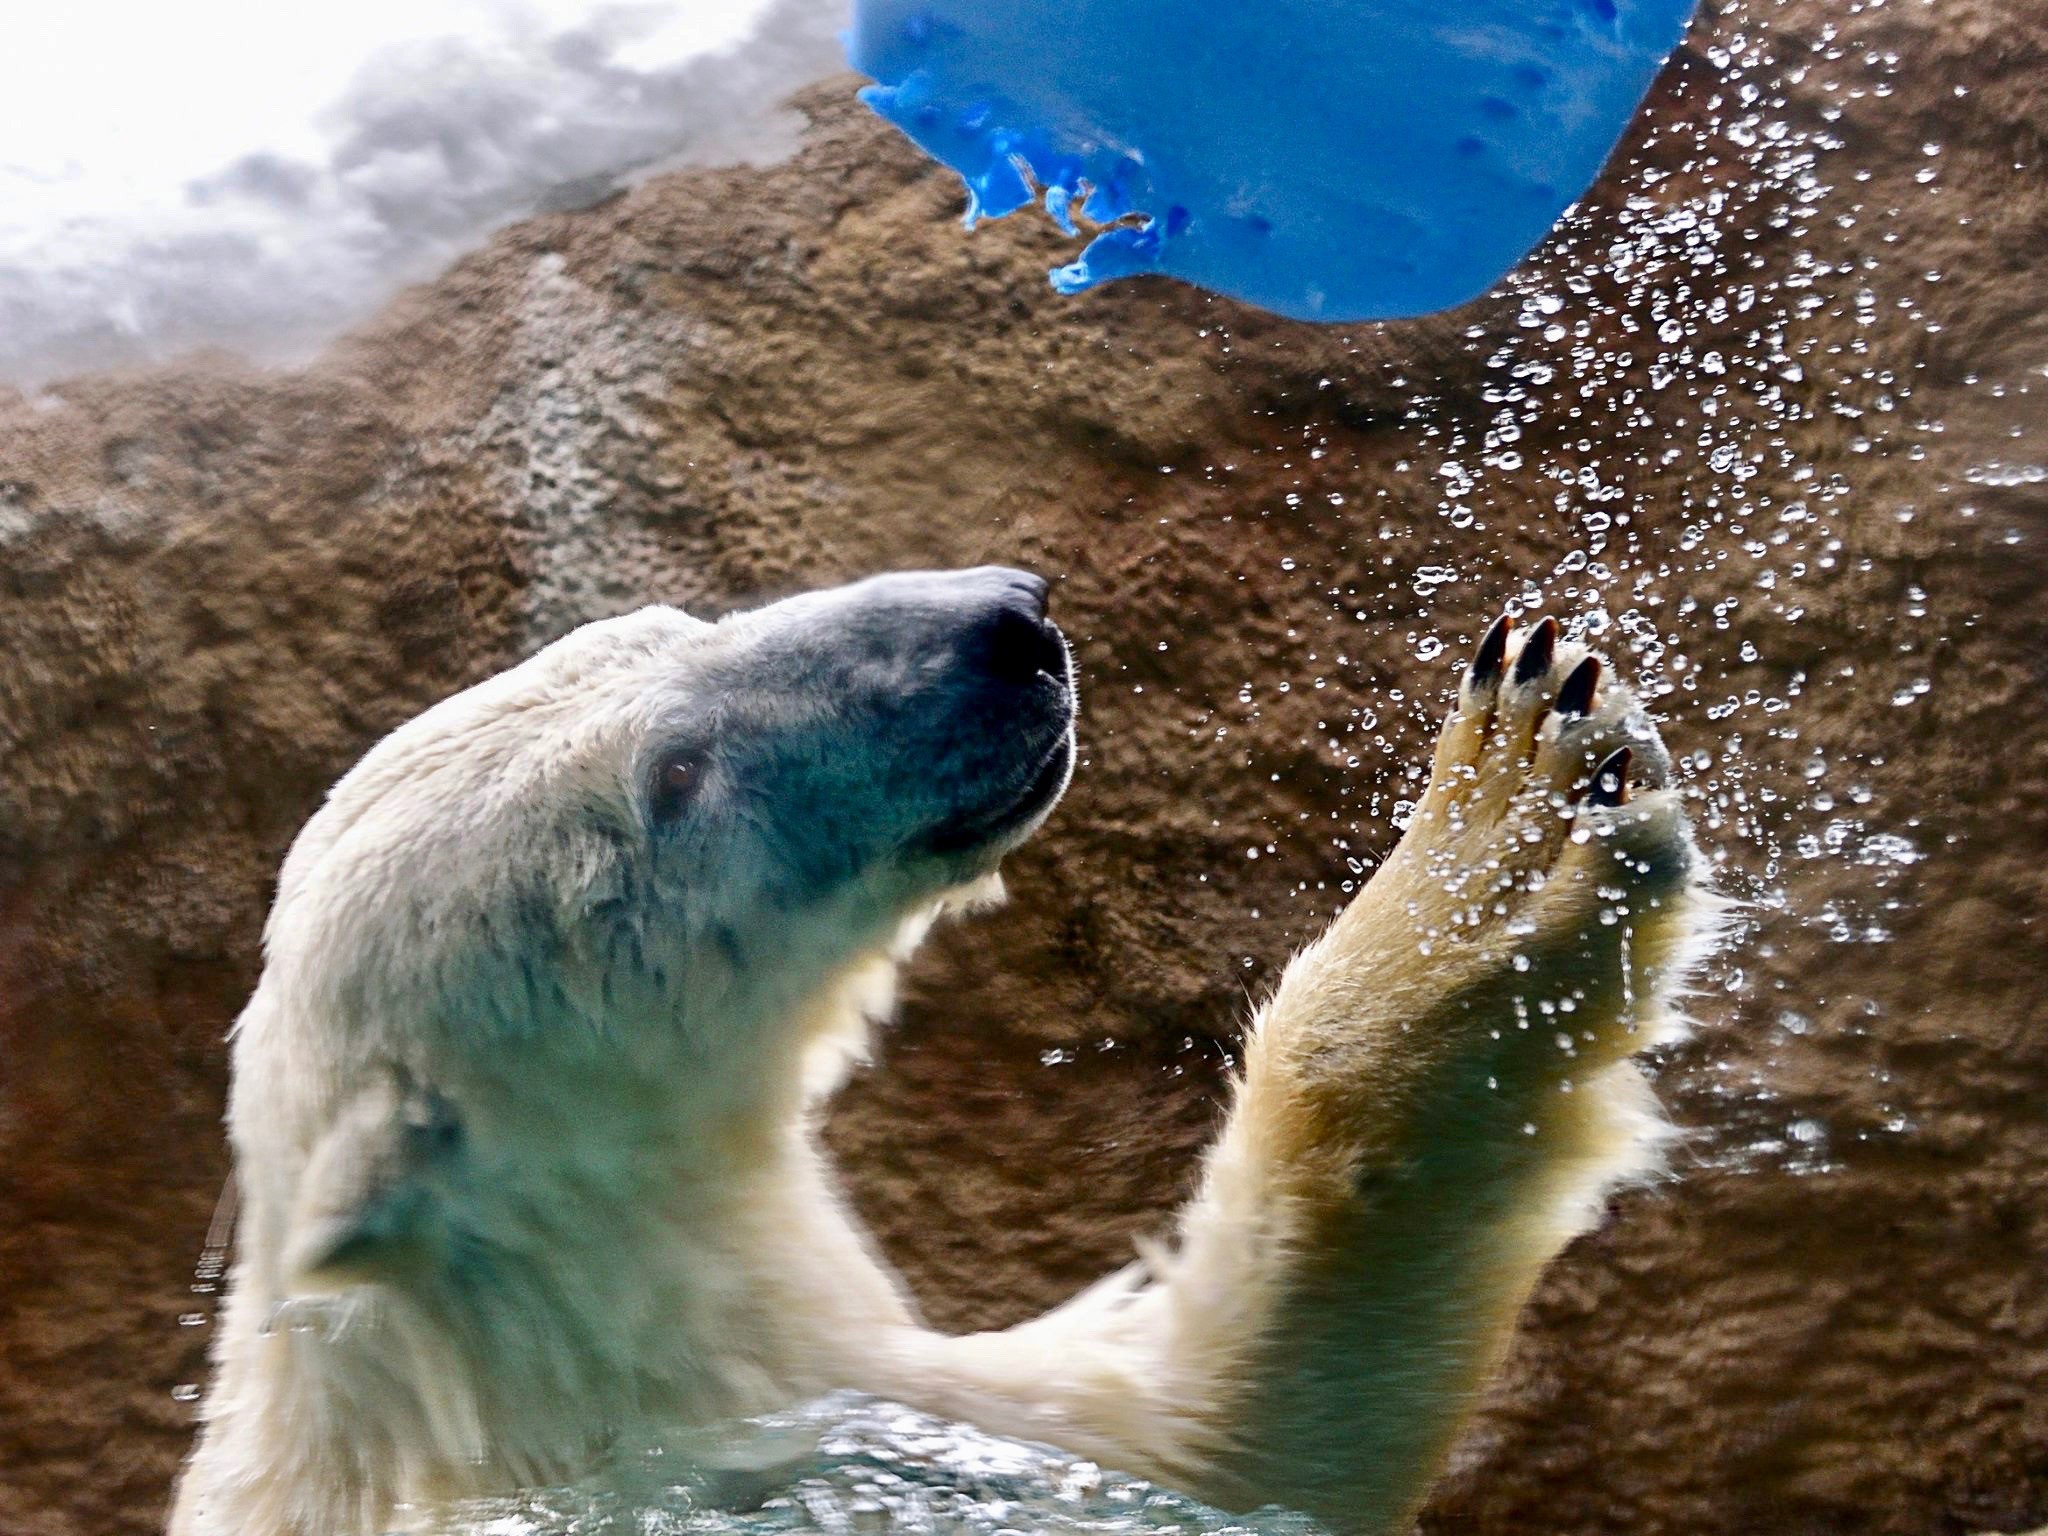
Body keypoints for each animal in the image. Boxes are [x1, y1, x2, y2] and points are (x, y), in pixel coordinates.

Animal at [172, 573, 1712, 1536]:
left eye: (674, 618)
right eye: (675, 777)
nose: (1004, 626)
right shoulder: (763, 1424)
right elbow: (1218, 1434)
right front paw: (1509, 824)